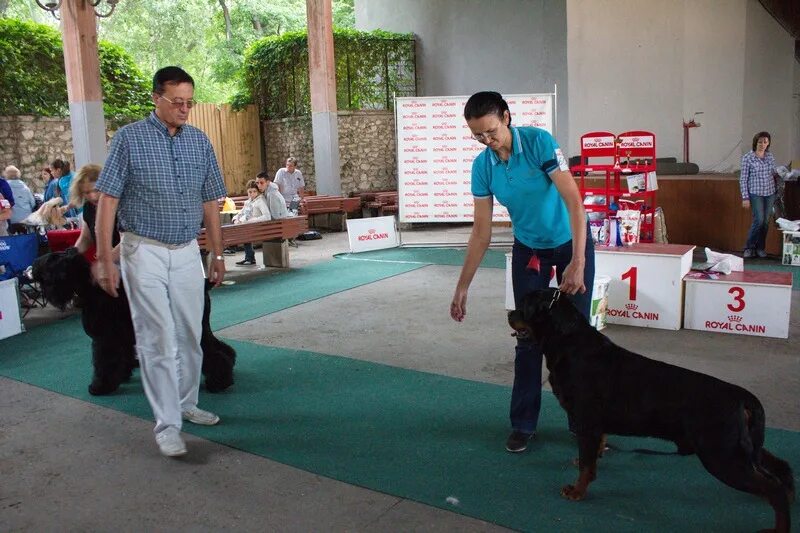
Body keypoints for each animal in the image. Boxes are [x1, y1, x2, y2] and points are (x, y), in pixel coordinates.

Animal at [34, 249, 234, 394]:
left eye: (51, 260)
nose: (33, 268)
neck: (91, 289)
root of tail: (205, 283)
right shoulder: (121, 338)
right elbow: (122, 357)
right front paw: (123, 375)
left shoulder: (104, 340)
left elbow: (103, 362)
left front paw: (99, 387)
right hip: (203, 328)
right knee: (221, 348)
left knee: (213, 353)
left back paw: (219, 382)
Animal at [510, 288, 792, 532]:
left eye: (524, 306)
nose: (510, 314)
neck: (567, 342)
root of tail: (741, 396)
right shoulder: (595, 426)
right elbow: (593, 453)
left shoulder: (586, 421)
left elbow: (587, 465)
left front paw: (577, 491)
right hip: (739, 446)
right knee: (779, 468)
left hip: (721, 455)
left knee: (773, 488)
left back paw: (779, 525)